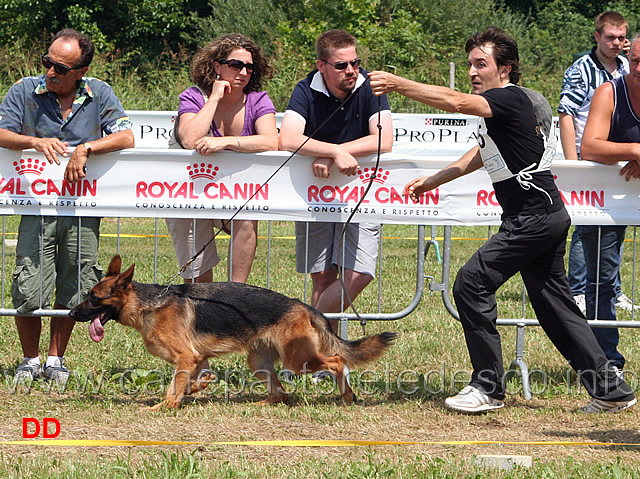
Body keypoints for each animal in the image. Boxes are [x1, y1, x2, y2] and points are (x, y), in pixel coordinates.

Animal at [71, 256, 400, 410]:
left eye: (93, 298)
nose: (72, 314)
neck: (148, 304)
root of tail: (305, 306)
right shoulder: (196, 360)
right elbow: (198, 379)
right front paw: (190, 393)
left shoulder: (185, 358)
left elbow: (174, 387)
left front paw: (164, 407)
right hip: (259, 363)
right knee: (281, 393)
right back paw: (261, 403)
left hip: (299, 359)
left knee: (336, 362)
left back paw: (347, 395)